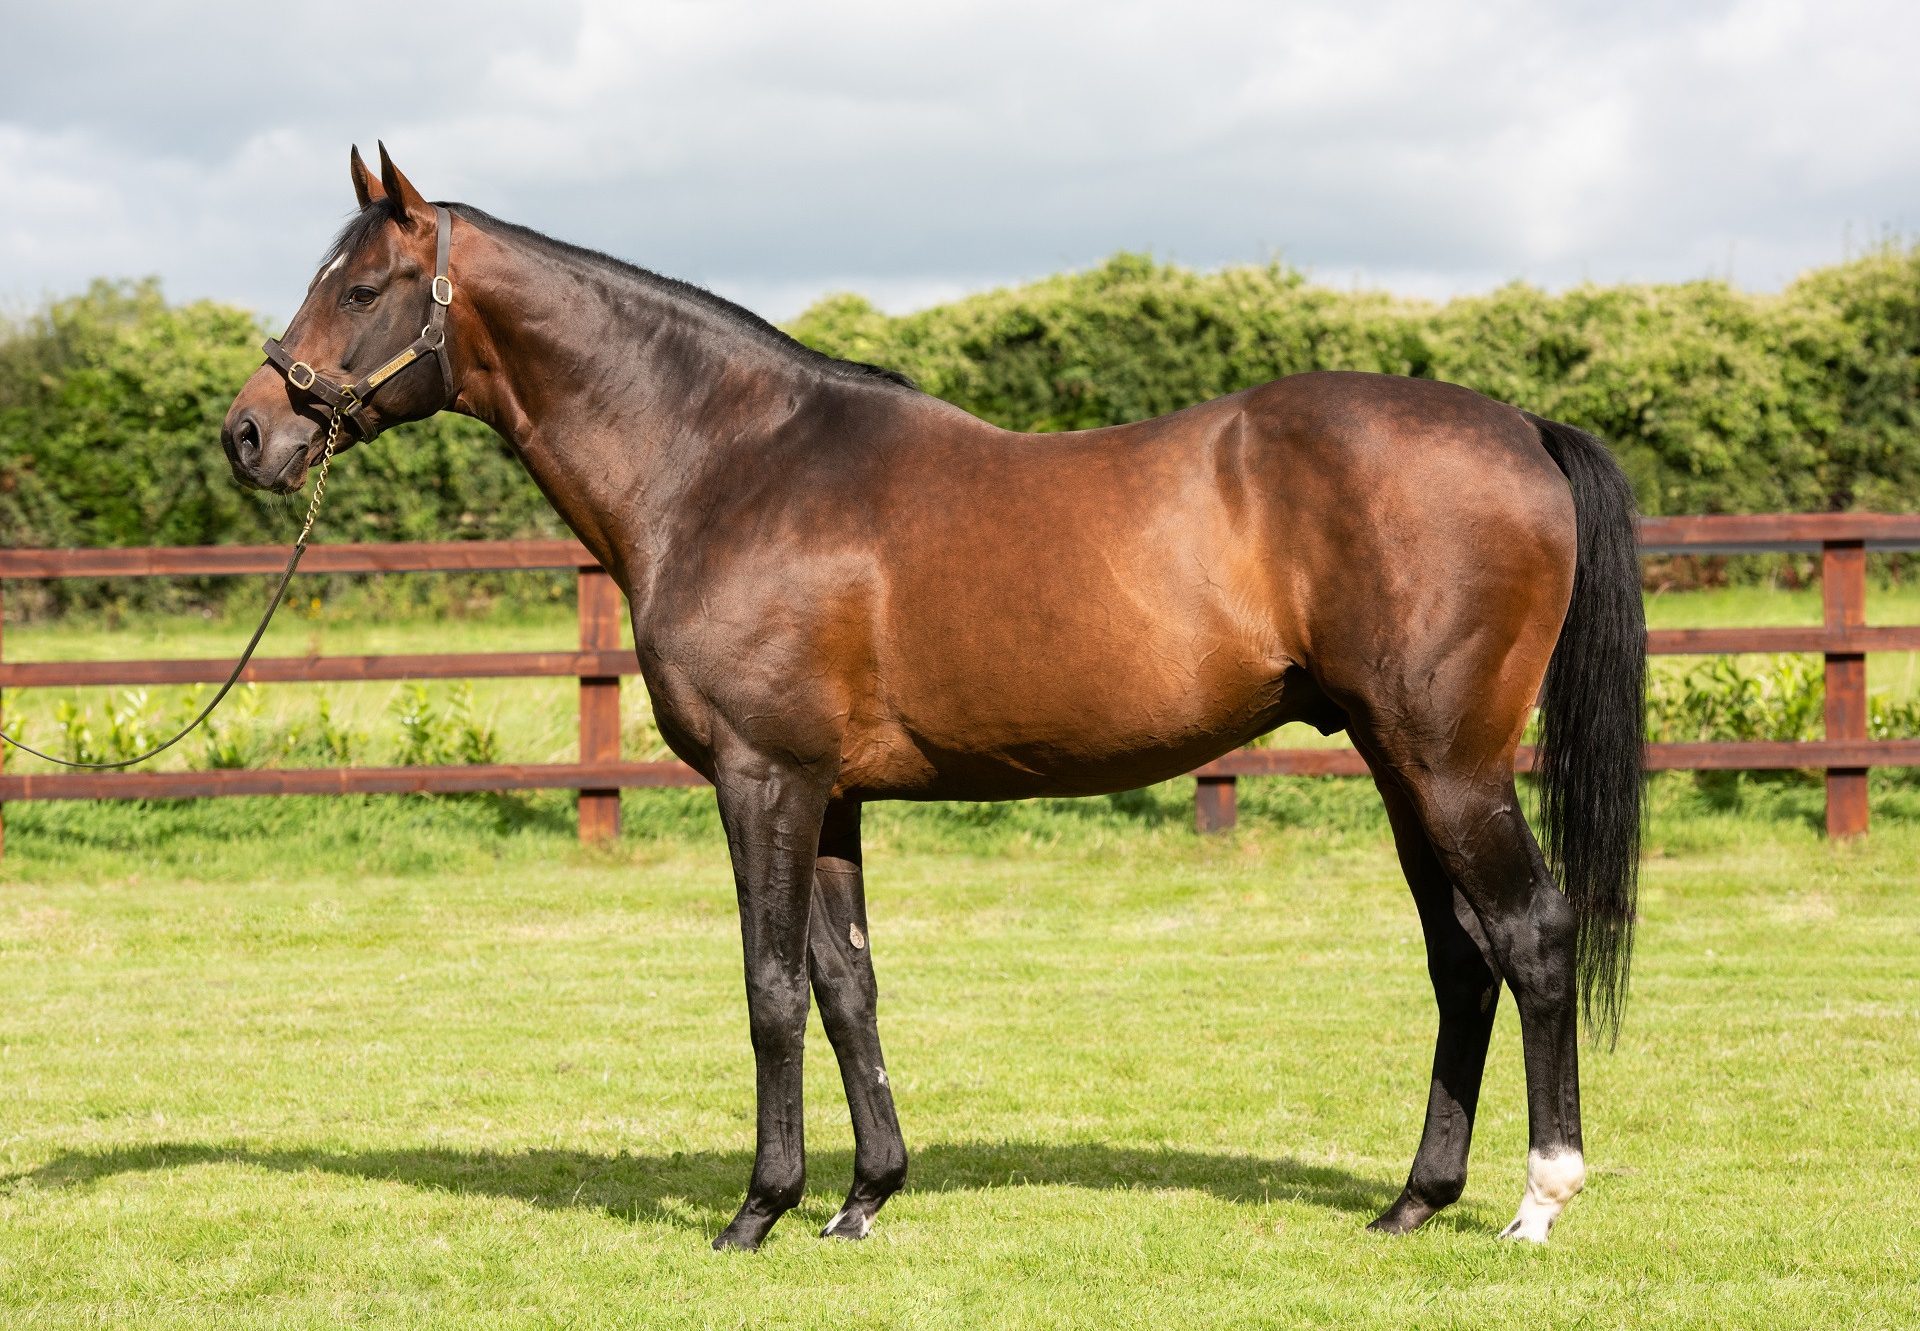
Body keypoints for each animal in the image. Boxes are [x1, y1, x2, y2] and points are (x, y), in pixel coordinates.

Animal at [217, 145, 1643, 1244]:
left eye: (361, 286)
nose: (248, 434)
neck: (727, 464)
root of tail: (1522, 427)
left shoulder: (763, 781)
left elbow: (770, 988)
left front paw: (759, 1208)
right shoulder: (830, 794)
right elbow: (849, 986)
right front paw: (864, 1197)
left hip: (1451, 765)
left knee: (1532, 935)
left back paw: (1539, 1198)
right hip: (1402, 768)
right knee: (1459, 957)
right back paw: (1414, 1199)